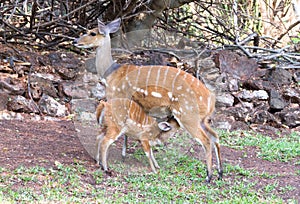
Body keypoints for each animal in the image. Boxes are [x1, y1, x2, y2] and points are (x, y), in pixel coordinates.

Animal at [73, 18, 221, 182]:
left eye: (92, 33)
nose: (75, 41)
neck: (111, 74)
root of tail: (211, 98)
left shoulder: (119, 98)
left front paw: (124, 155)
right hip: (202, 119)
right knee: (215, 136)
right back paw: (220, 173)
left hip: (188, 116)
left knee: (206, 140)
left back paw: (208, 176)